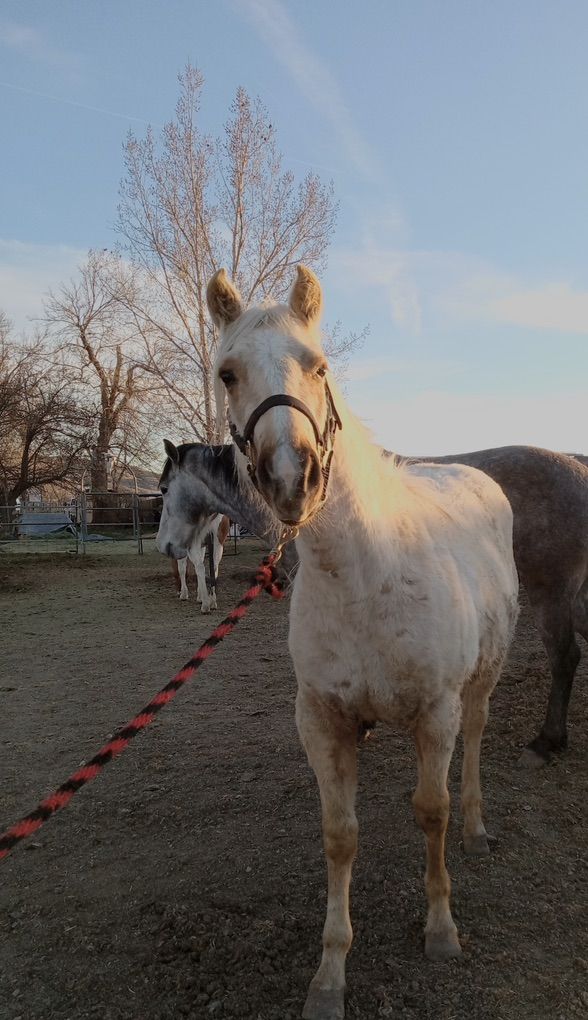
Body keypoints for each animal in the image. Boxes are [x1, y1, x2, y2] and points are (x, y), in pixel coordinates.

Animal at [207, 264, 519, 1020]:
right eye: (228, 373)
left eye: (319, 365)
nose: (292, 479)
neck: (365, 573)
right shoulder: (323, 721)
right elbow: (339, 835)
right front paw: (330, 972)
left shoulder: (436, 711)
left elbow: (430, 813)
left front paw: (440, 930)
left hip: (481, 682)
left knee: (474, 744)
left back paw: (476, 828)